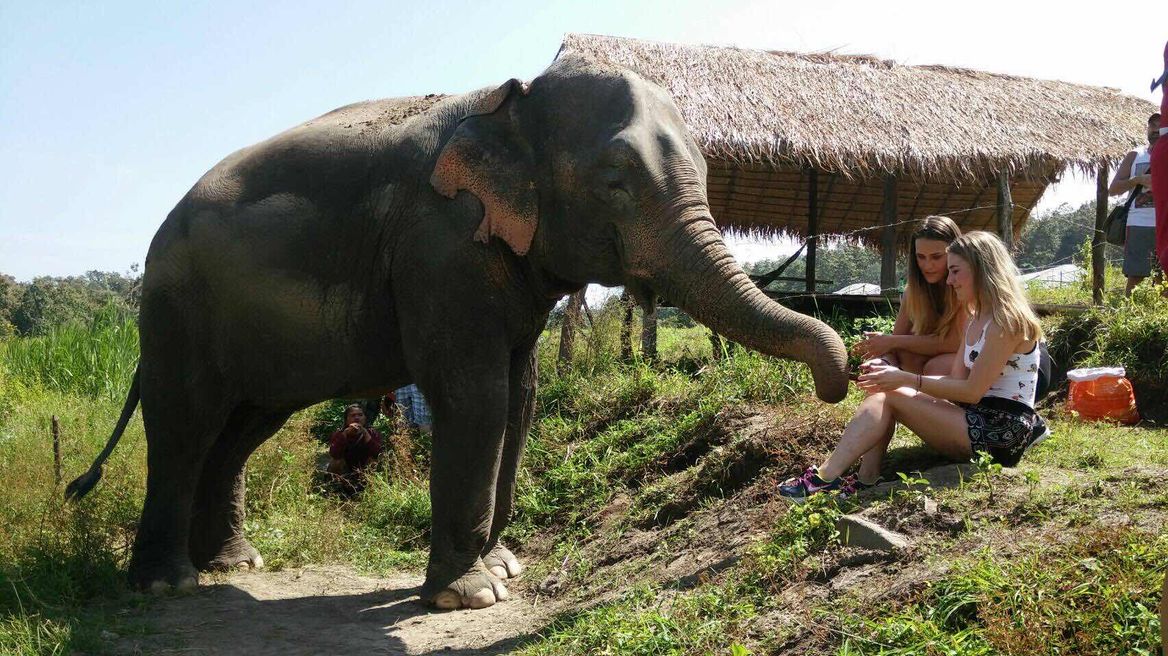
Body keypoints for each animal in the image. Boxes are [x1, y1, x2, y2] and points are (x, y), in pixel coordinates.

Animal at [67, 53, 849, 609]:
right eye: (616, 181)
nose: (836, 385)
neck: (511, 99)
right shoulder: (439, 246)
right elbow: (476, 397)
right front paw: (469, 594)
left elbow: (522, 398)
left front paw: (502, 566)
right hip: (176, 309)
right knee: (187, 422)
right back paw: (167, 585)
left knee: (241, 430)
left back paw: (233, 564)